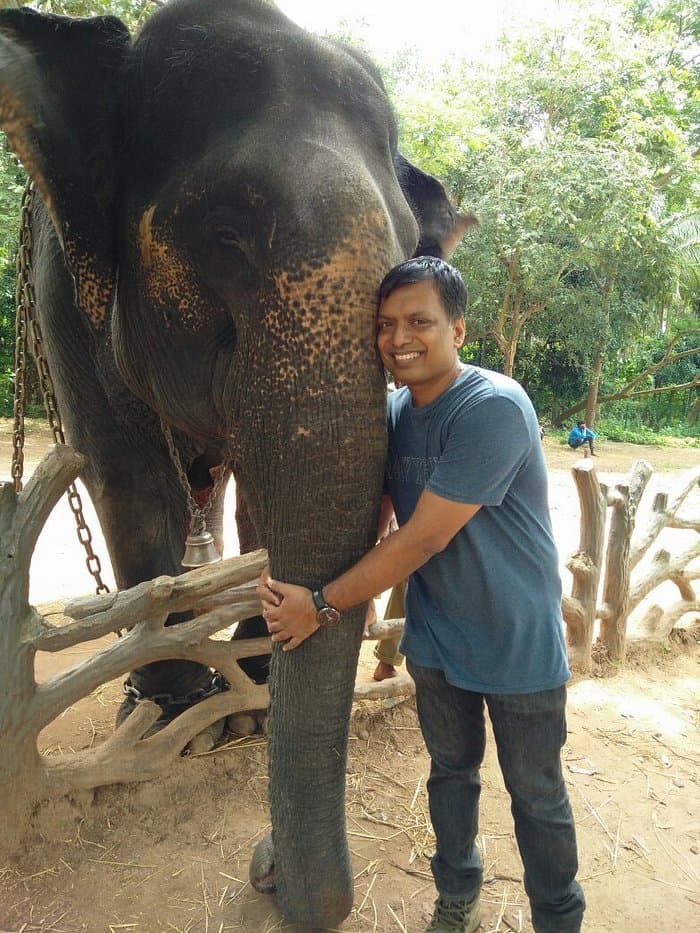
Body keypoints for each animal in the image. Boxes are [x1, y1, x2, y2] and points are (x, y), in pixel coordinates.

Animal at [0, 3, 470, 928]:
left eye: (408, 251)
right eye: (224, 235)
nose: (266, 867)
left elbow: (261, 499)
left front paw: (248, 701)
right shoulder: (61, 287)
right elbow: (124, 473)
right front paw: (184, 713)